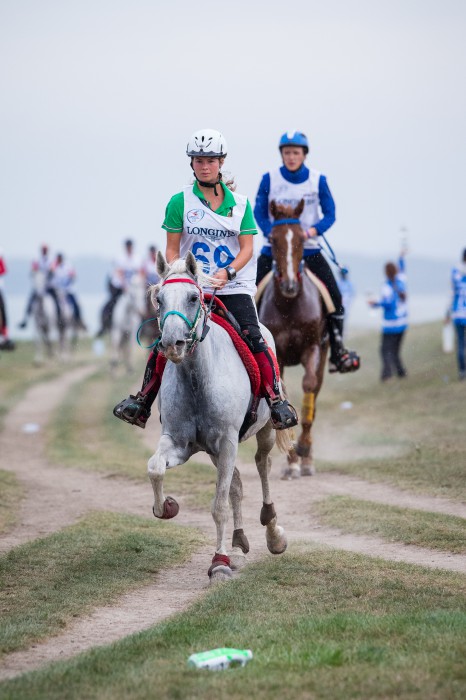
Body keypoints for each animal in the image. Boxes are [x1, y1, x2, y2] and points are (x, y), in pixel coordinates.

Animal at [147, 252, 290, 580]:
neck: (197, 378)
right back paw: (238, 543)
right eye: (159, 299)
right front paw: (167, 507)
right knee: (236, 484)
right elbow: (155, 468)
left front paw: (219, 563)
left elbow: (218, 505)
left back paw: (273, 534)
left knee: (262, 464)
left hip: (263, 431)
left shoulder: (227, 442)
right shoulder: (180, 443)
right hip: (215, 451)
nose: (172, 344)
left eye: (192, 297)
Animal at [258, 200, 328, 478]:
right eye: (273, 240)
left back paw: (307, 456)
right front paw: (291, 461)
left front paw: (303, 452)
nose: (289, 285)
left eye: (301, 239)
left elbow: (308, 387)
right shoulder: (278, 355)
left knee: (315, 394)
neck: (289, 304)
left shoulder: (312, 347)